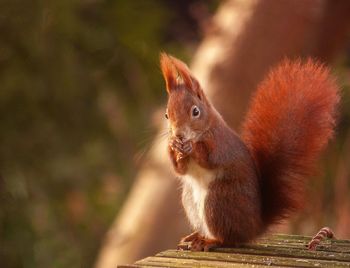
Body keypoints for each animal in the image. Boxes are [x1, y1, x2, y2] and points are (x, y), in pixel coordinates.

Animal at [160, 52, 340, 251]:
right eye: (167, 115)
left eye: (195, 112)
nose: (179, 135)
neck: (203, 131)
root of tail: (253, 228)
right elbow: (180, 170)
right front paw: (173, 147)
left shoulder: (221, 145)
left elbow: (209, 158)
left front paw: (191, 147)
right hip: (190, 199)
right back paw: (195, 236)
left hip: (218, 200)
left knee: (228, 238)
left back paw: (210, 240)